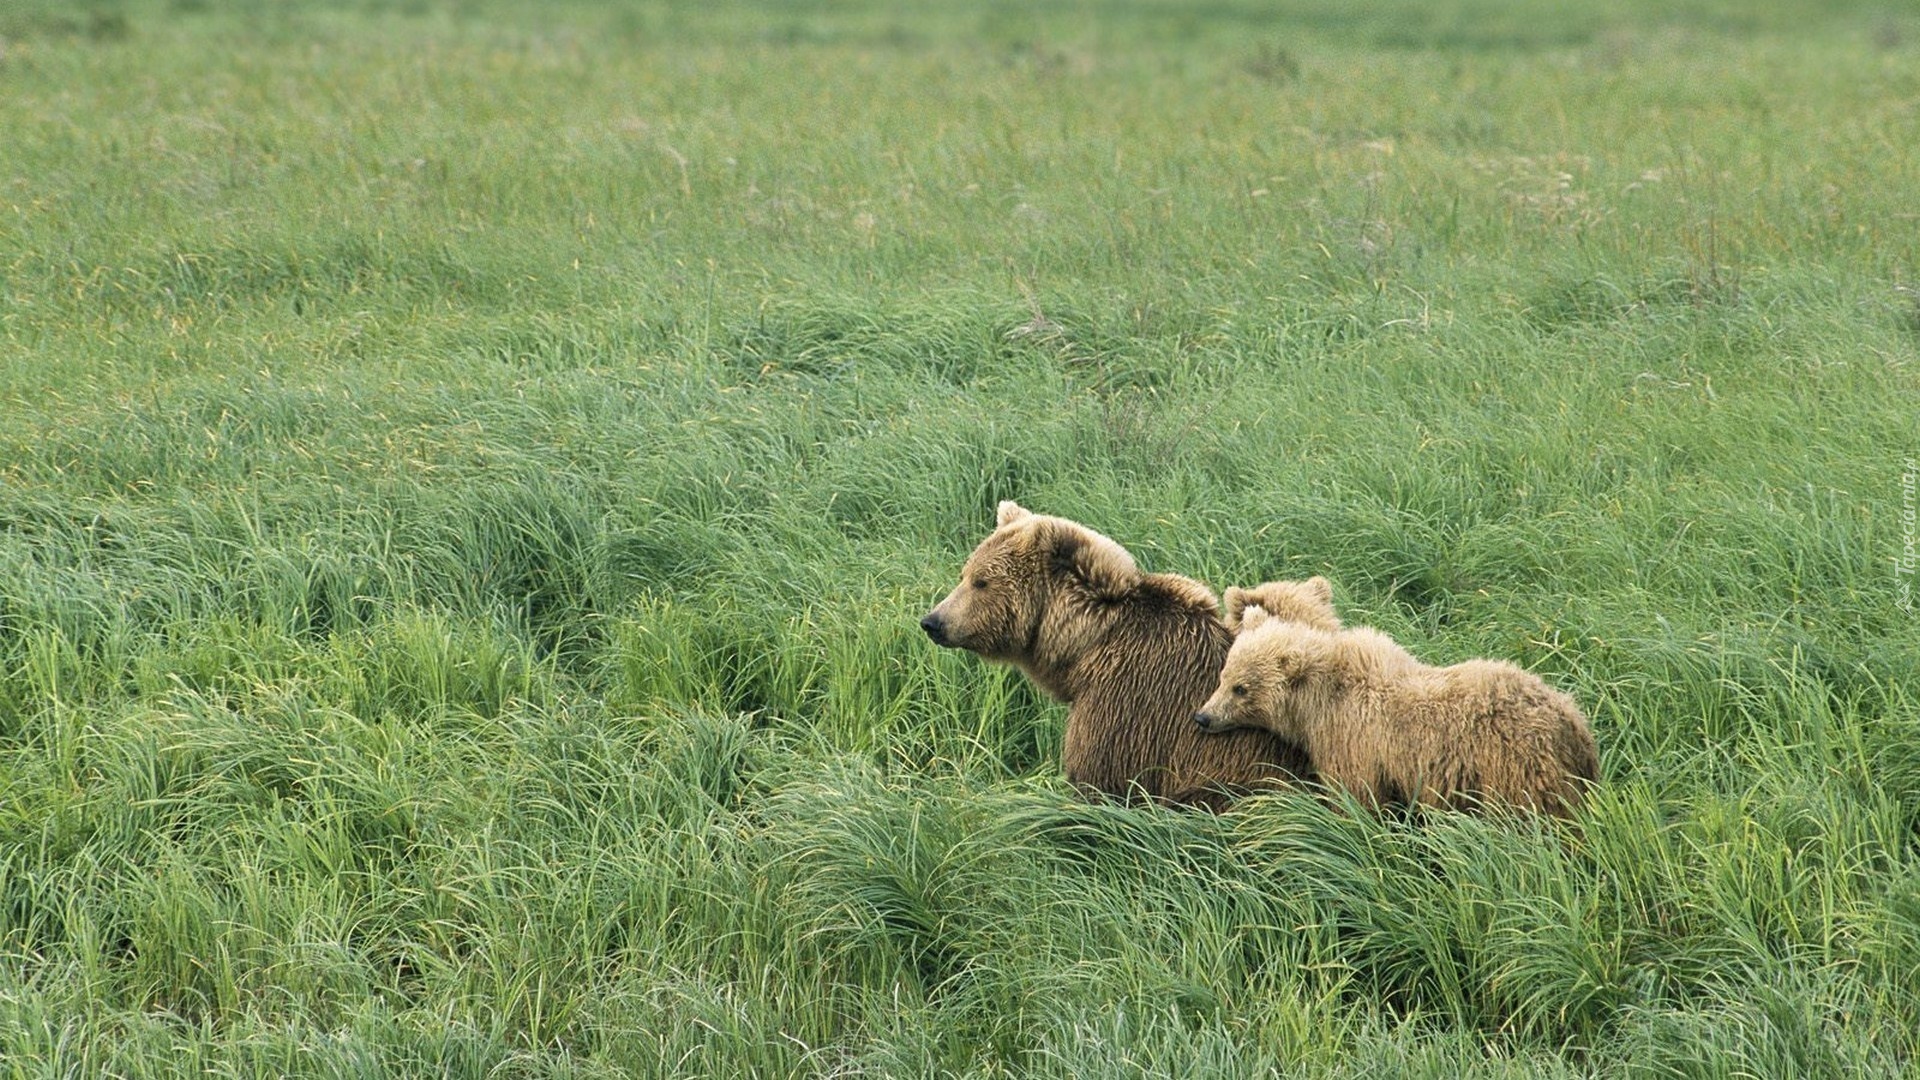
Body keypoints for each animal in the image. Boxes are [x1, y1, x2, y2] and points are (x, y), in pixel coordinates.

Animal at [913, 499, 1305, 803]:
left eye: (982, 581)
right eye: (964, 574)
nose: (933, 621)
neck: (1085, 647)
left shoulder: (1125, 702)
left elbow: (1101, 775)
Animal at [1190, 595, 1597, 814]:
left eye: (1241, 688)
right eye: (1224, 676)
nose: (1202, 716)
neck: (1315, 706)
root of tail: (1572, 720)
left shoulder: (1354, 742)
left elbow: (1356, 796)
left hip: (1515, 771)